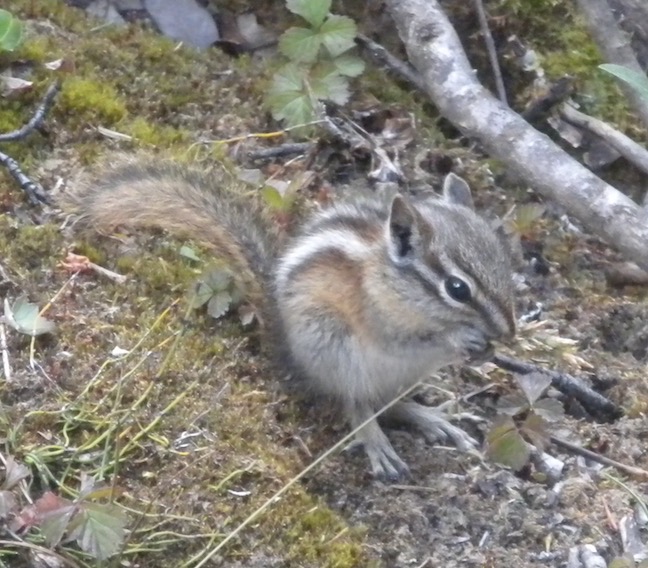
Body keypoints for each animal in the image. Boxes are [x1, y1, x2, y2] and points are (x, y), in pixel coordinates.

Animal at [65, 157, 516, 480]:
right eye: (458, 289)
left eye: (504, 261)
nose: (508, 333)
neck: (391, 276)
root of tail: (283, 341)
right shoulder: (379, 317)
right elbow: (407, 339)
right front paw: (460, 340)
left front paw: (483, 351)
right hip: (335, 347)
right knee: (356, 403)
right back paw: (376, 442)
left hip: (399, 374)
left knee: (391, 403)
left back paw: (432, 417)